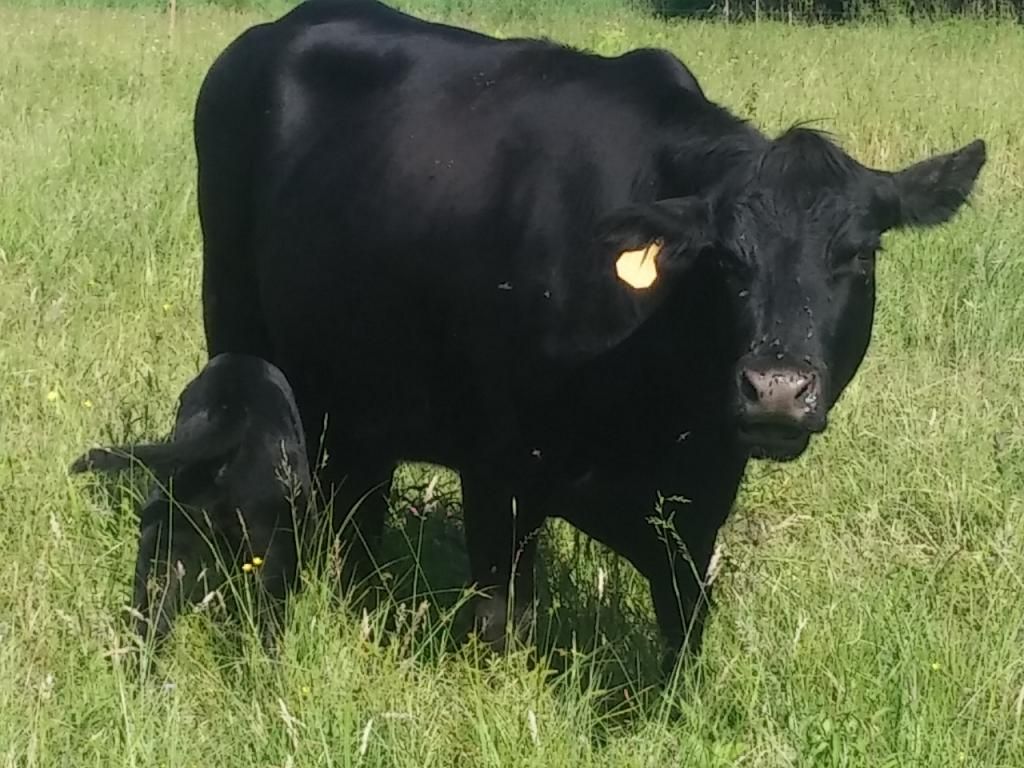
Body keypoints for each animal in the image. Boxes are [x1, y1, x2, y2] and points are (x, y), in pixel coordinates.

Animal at [192, 0, 986, 672]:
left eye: (860, 254)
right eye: (725, 259)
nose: (777, 389)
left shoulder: (699, 499)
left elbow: (684, 628)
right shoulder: (497, 469)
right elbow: (501, 621)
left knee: (358, 506)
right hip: (240, 335)